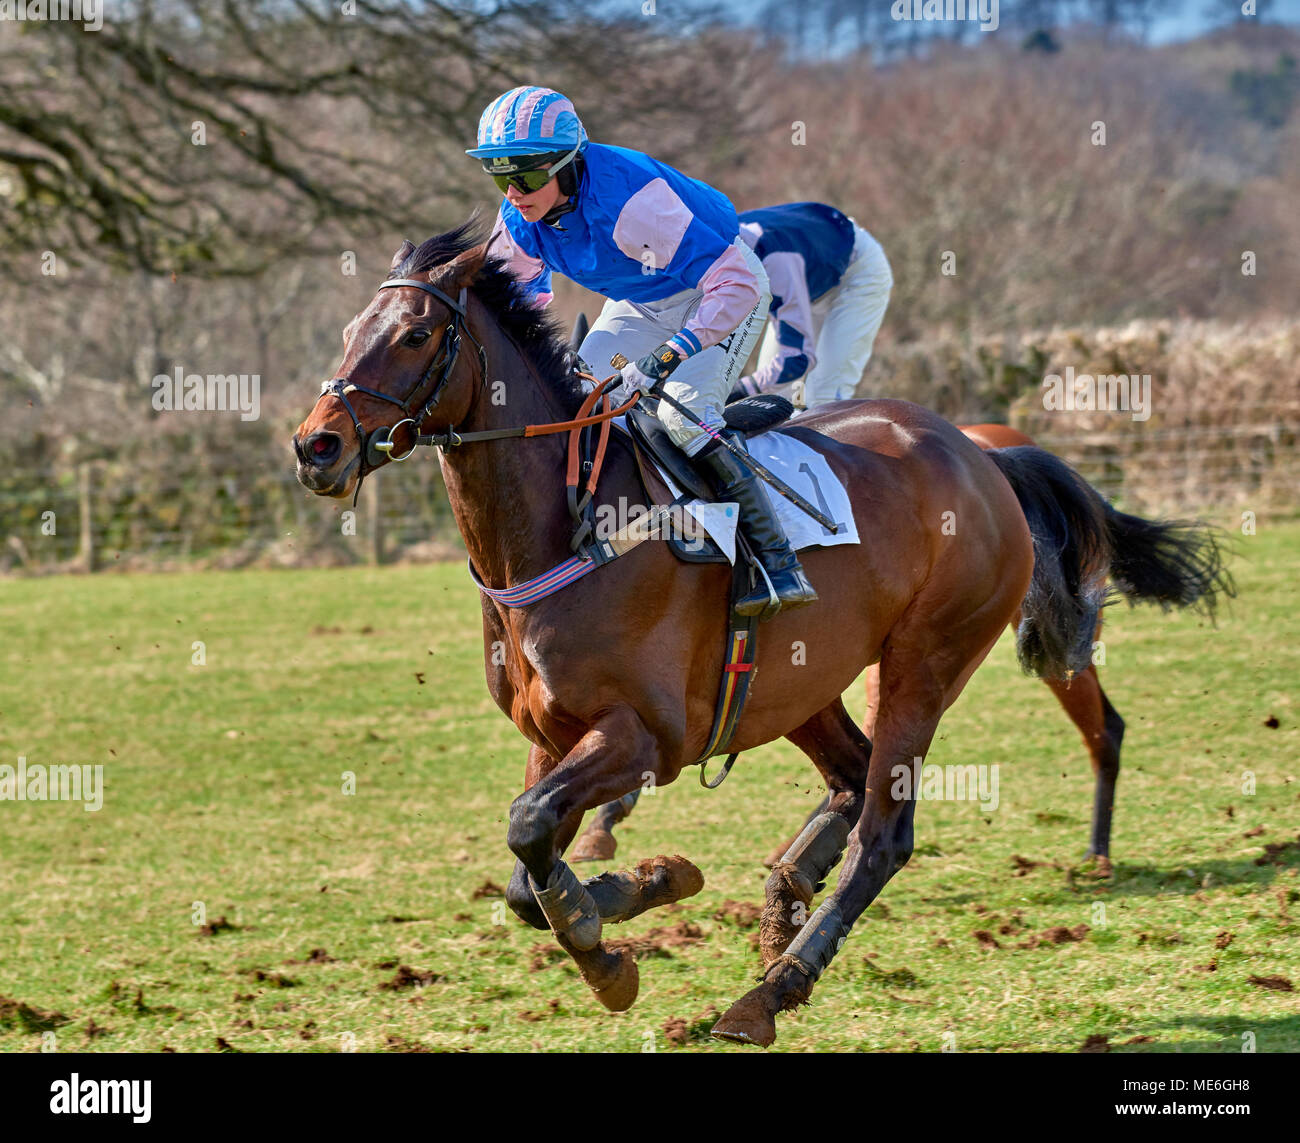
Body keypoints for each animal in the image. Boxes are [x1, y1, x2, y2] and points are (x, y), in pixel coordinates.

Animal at [289, 226, 1232, 1055]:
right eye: (348, 330)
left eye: (415, 334)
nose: (316, 445)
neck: (570, 528)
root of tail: (983, 456)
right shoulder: (553, 735)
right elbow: (526, 869)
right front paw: (644, 887)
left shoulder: (644, 736)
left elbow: (529, 831)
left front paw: (606, 943)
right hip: (800, 684)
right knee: (852, 778)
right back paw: (784, 893)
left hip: (924, 660)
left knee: (886, 831)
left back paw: (770, 990)